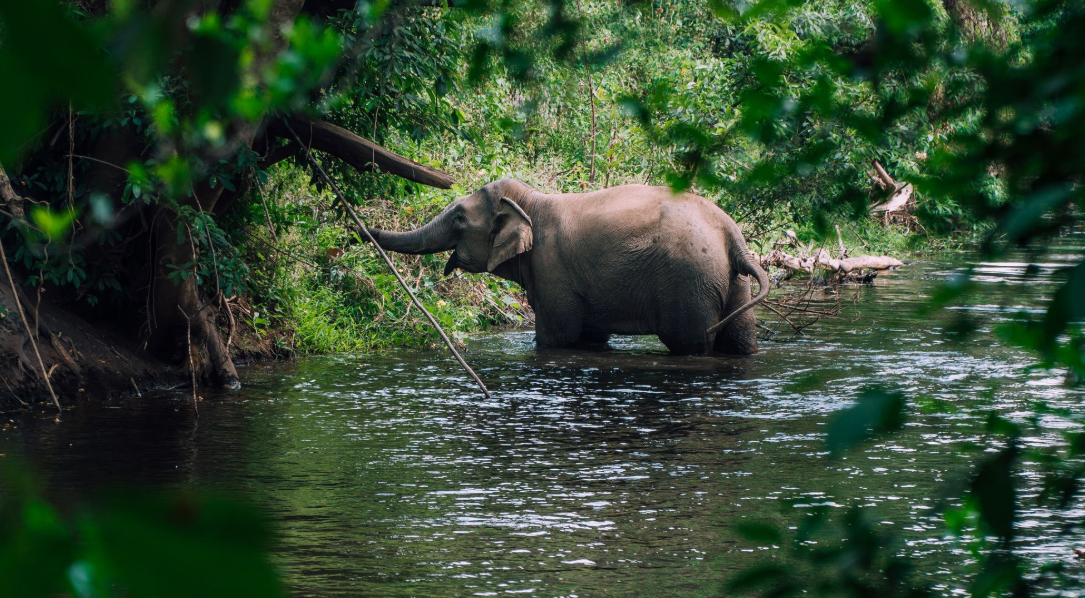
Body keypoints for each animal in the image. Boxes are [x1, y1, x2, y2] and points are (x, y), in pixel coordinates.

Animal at [373, 177, 772, 355]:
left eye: (458, 218)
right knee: (739, 341)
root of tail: (733, 235)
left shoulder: (552, 268)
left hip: (690, 281)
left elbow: (558, 337)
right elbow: (590, 337)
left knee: (691, 344)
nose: (363, 229)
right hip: (730, 281)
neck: (531, 201)